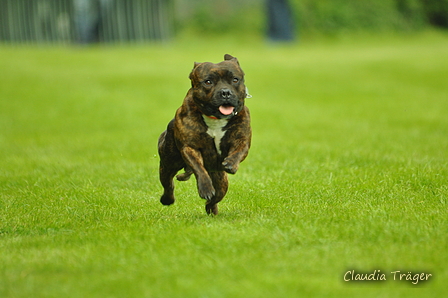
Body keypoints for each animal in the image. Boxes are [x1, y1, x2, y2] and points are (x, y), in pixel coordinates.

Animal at [158, 54, 250, 214]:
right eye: (208, 82)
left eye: (235, 80)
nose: (225, 92)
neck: (215, 118)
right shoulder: (190, 148)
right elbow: (199, 168)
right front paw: (206, 188)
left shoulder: (242, 138)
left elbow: (239, 150)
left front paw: (231, 163)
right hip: (168, 163)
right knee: (168, 184)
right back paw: (167, 199)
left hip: (220, 180)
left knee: (216, 197)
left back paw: (212, 210)